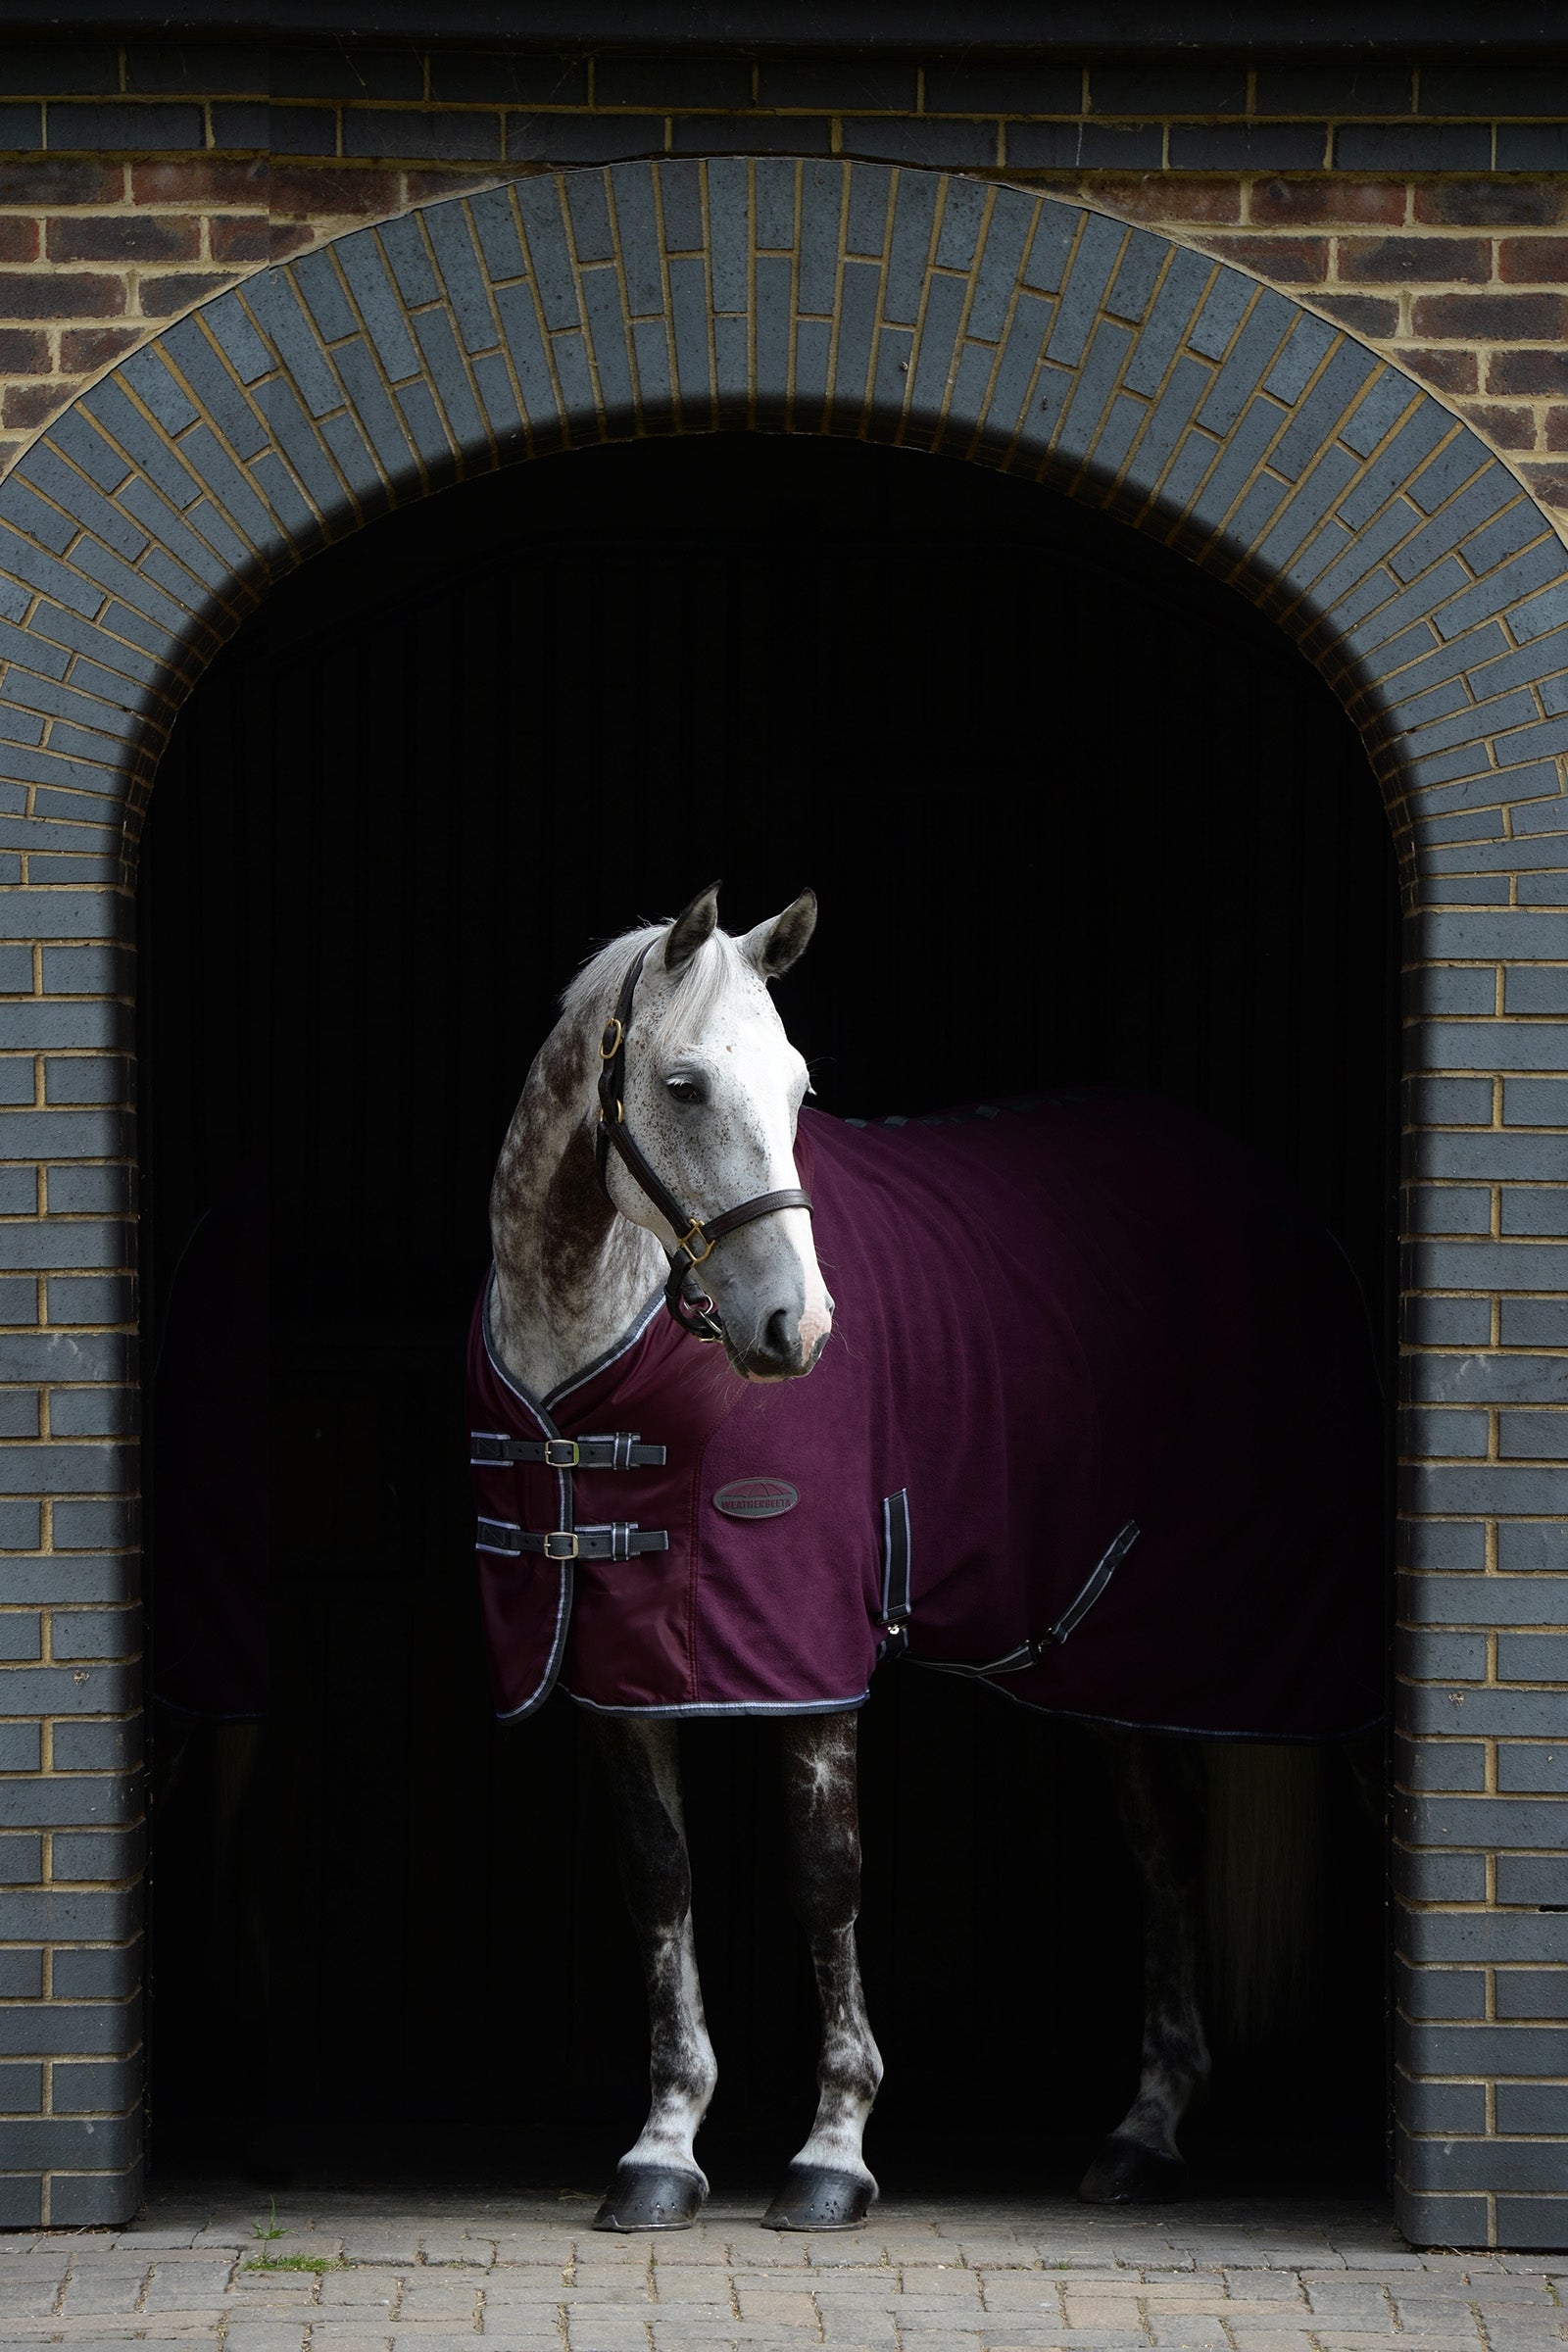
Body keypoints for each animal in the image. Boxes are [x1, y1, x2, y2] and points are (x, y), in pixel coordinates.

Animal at [470, 883, 1383, 2232]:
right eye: (683, 1085)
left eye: (800, 1088)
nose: (795, 1329)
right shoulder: (619, 1668)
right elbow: (659, 1879)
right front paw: (664, 2145)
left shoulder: (806, 1657)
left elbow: (824, 1876)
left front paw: (833, 2150)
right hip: (1116, 1660)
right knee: (1163, 1853)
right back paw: (1143, 2134)